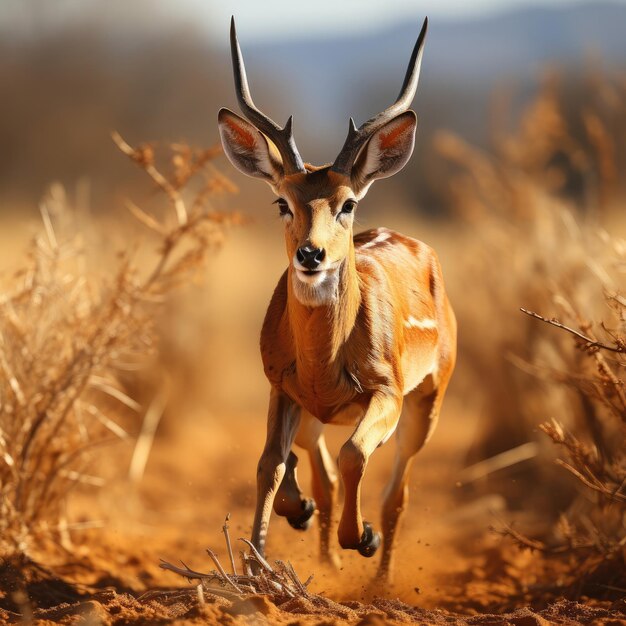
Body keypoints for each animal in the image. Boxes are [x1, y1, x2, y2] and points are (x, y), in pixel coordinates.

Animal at [217, 15, 456, 580]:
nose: (312, 253)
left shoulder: (387, 392)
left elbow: (353, 457)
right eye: (282, 201)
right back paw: (318, 541)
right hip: (315, 416)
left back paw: (380, 577)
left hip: (427, 401)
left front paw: (361, 537)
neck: (325, 364)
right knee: (320, 474)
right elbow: (269, 464)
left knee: (397, 493)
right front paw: (259, 560)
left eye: (347, 203)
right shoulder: (282, 388)